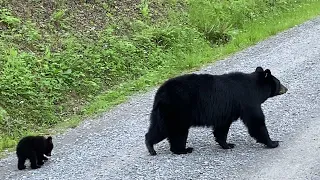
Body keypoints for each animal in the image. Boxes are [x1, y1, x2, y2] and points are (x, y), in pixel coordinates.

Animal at [144, 67, 288, 155]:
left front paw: (227, 144)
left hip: (162, 113)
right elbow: (256, 122)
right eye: (279, 82)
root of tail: (160, 94)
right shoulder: (248, 100)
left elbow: (222, 128)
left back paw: (150, 147)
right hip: (178, 111)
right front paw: (273, 142)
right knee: (177, 132)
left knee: (158, 129)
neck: (255, 88)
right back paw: (183, 149)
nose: (286, 88)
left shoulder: (226, 112)